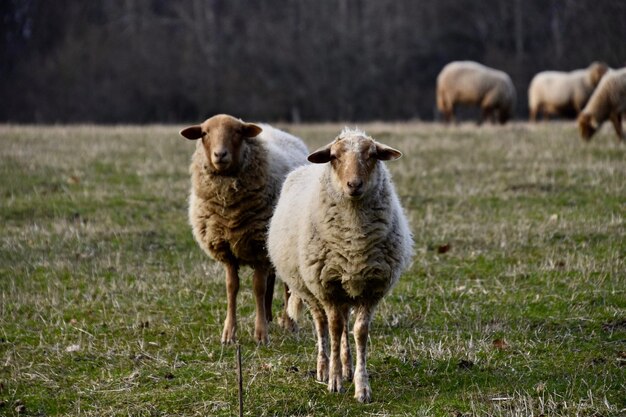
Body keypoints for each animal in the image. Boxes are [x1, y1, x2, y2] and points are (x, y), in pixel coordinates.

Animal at [178, 114, 308, 344]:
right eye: (204, 133)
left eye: (238, 132)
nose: (220, 154)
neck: (230, 208)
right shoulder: (226, 249)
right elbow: (232, 288)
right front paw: (229, 334)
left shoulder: (259, 247)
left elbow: (258, 288)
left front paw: (261, 334)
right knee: (272, 280)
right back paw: (269, 316)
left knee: (285, 284)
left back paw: (289, 323)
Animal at [266, 128, 412, 402]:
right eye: (334, 156)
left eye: (372, 154)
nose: (354, 185)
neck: (354, 239)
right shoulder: (328, 287)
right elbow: (333, 330)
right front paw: (334, 382)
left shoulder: (371, 288)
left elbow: (359, 332)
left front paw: (361, 386)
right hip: (309, 289)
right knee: (322, 325)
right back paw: (324, 369)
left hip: (346, 289)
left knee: (345, 327)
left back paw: (347, 368)